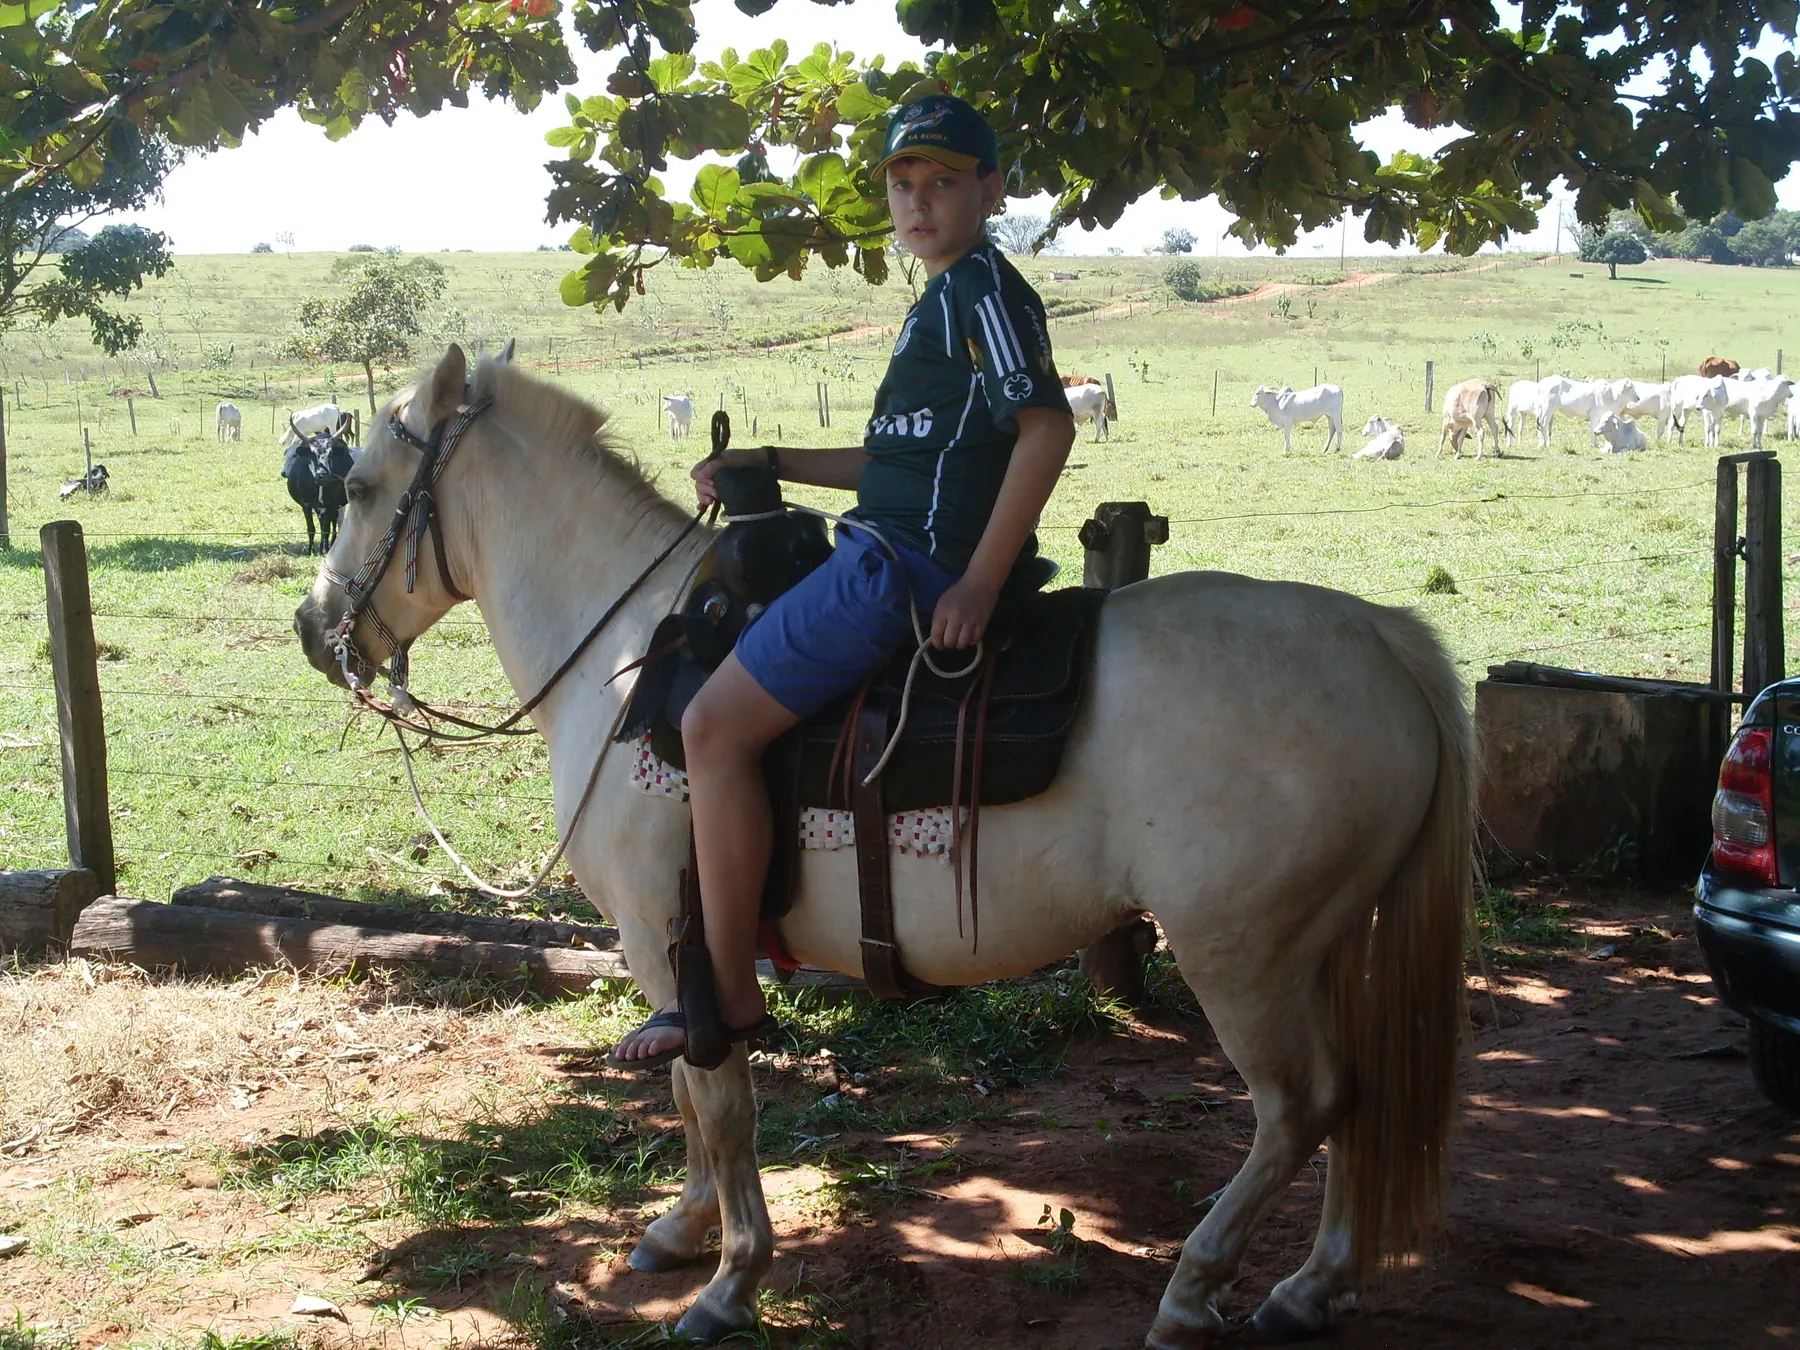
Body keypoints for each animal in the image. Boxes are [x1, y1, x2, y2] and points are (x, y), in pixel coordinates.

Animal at [281, 418, 355, 555]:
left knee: (332, 524)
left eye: (331, 454)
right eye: (312, 454)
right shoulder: (306, 505)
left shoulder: (332, 505)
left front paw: (325, 548)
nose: (322, 475)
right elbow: (311, 528)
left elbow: (327, 528)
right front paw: (311, 550)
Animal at [293, 345, 1474, 1348]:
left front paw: (729, 1281)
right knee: (1354, 1098)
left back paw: (1194, 1290)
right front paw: (680, 1231)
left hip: (1242, 956)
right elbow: (687, 1092)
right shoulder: (672, 959)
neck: (627, 656)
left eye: (356, 486)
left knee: (1298, 1109)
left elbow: (718, 1103)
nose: (314, 631)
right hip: (1321, 947)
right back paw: (1310, 1285)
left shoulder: (666, 940)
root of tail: (1377, 638)